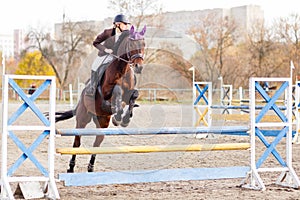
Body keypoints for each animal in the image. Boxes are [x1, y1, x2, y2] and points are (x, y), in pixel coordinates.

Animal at [52, 25, 146, 172]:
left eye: (143, 44)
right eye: (131, 44)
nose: (139, 67)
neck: (123, 69)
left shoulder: (129, 93)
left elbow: (133, 96)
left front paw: (124, 119)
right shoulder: (106, 93)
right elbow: (117, 92)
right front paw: (118, 117)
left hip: (102, 122)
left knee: (97, 142)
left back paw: (90, 168)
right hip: (82, 119)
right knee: (77, 142)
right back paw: (71, 167)